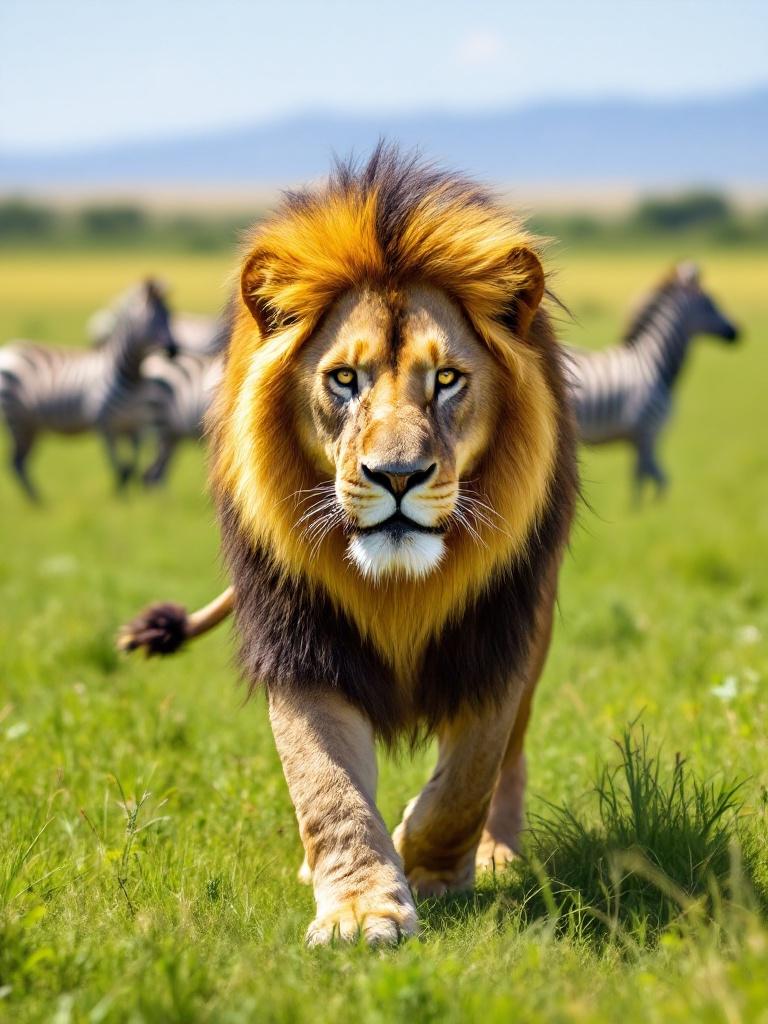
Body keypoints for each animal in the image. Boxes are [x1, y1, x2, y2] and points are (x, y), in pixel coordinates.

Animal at [0, 278, 177, 501]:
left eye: (171, 315)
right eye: (152, 319)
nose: (174, 350)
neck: (130, 377)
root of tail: (9, 349)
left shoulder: (135, 427)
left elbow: (132, 466)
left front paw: (128, 497)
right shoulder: (104, 426)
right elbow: (120, 468)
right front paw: (120, 498)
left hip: (30, 426)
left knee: (19, 462)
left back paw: (38, 500)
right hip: (17, 420)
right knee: (16, 463)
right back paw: (39, 501)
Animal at [120, 148, 577, 946]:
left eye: (447, 378)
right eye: (343, 379)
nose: (397, 475)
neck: (395, 585)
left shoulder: (499, 637)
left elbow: (467, 779)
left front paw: (432, 868)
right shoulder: (303, 643)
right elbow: (326, 787)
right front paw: (362, 907)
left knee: (511, 757)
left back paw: (496, 851)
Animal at [569, 258, 741, 493]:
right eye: (710, 303)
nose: (737, 333)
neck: (653, 361)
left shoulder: (643, 439)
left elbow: (650, 479)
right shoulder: (648, 433)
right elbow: (652, 482)